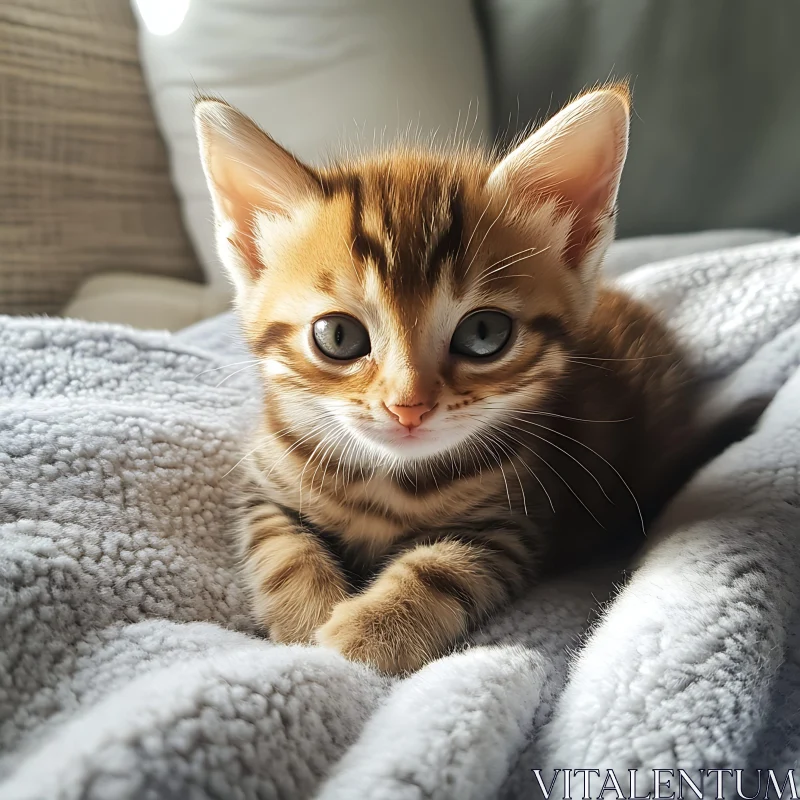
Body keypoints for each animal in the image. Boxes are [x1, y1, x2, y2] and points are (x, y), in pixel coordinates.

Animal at [195, 86, 712, 676]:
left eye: (484, 333)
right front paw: (307, 623)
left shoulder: (514, 522)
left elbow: (444, 568)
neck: (389, 480)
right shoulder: (262, 486)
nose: (409, 406)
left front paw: (368, 635)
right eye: (338, 336)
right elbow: (281, 546)